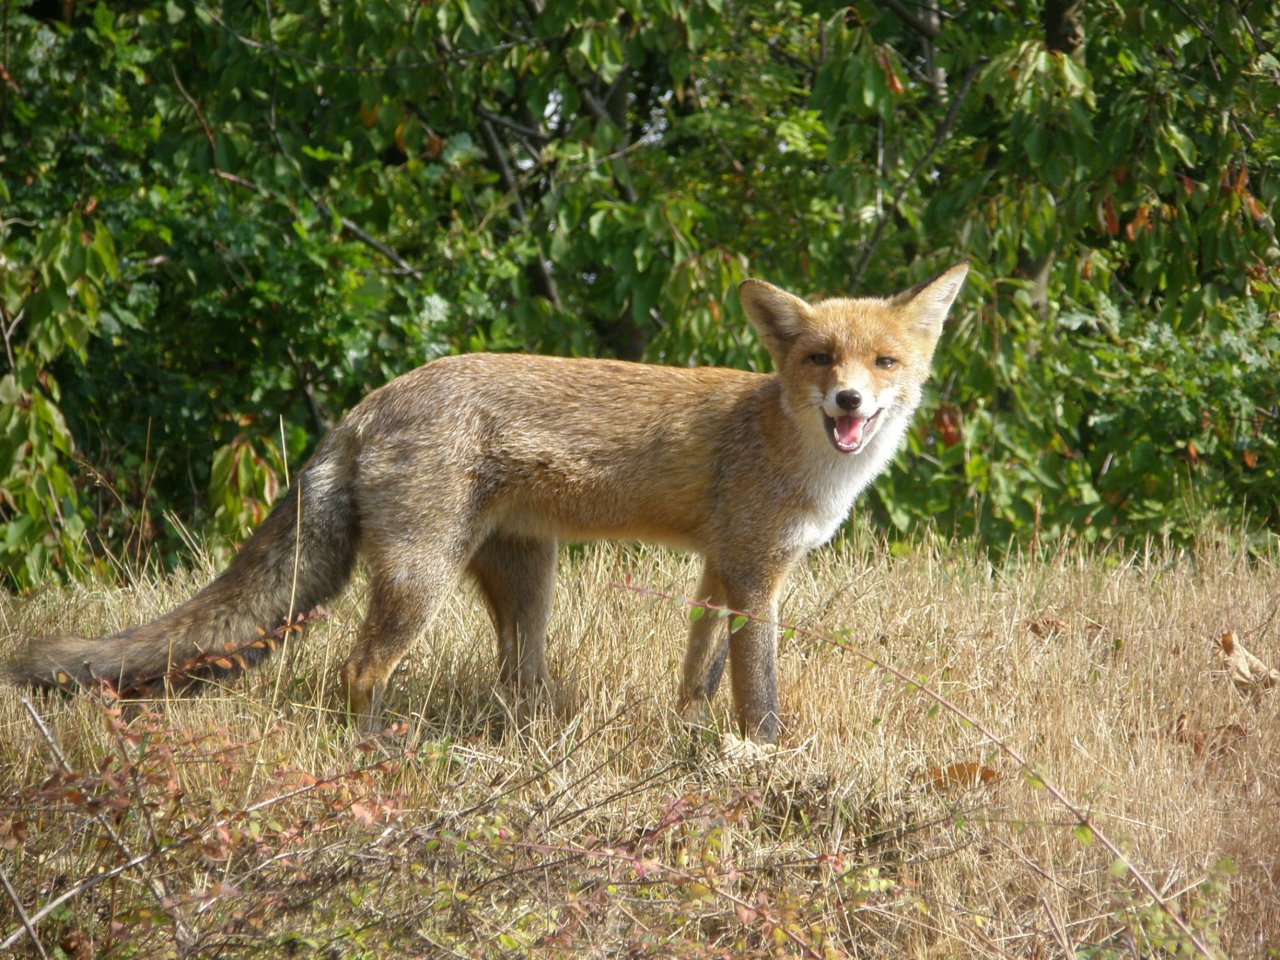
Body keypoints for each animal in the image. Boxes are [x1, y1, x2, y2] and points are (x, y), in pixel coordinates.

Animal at [10, 263, 967, 742]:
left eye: (883, 362)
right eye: (818, 359)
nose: (848, 402)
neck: (787, 451)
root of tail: (367, 403)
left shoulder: (717, 570)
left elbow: (696, 675)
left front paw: (690, 739)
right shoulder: (756, 577)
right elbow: (757, 691)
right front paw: (763, 758)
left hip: (526, 581)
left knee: (517, 685)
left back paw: (528, 745)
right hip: (420, 579)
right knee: (360, 668)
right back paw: (375, 757)